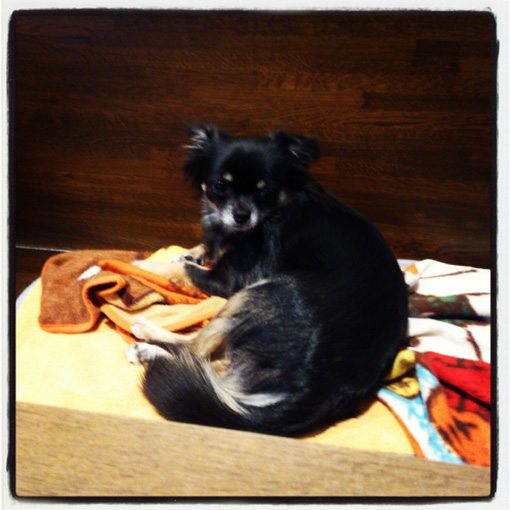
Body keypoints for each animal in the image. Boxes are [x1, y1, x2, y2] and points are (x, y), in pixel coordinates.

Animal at [126, 125, 408, 437]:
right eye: (220, 186)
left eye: (265, 192)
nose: (241, 215)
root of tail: (322, 387)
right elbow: (200, 251)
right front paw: (190, 252)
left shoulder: (228, 281)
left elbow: (185, 271)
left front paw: (146, 264)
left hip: (258, 293)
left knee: (195, 349)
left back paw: (147, 342)